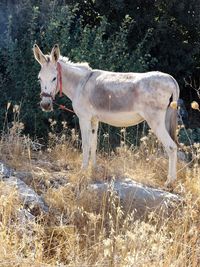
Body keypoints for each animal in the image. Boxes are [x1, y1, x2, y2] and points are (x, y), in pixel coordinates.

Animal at [33, 44, 180, 186]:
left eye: (54, 78)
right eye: (39, 78)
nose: (45, 105)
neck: (80, 84)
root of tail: (171, 78)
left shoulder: (84, 118)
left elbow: (85, 144)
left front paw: (83, 171)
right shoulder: (94, 120)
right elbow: (94, 144)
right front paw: (94, 169)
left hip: (155, 120)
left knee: (171, 147)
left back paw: (170, 181)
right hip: (166, 118)